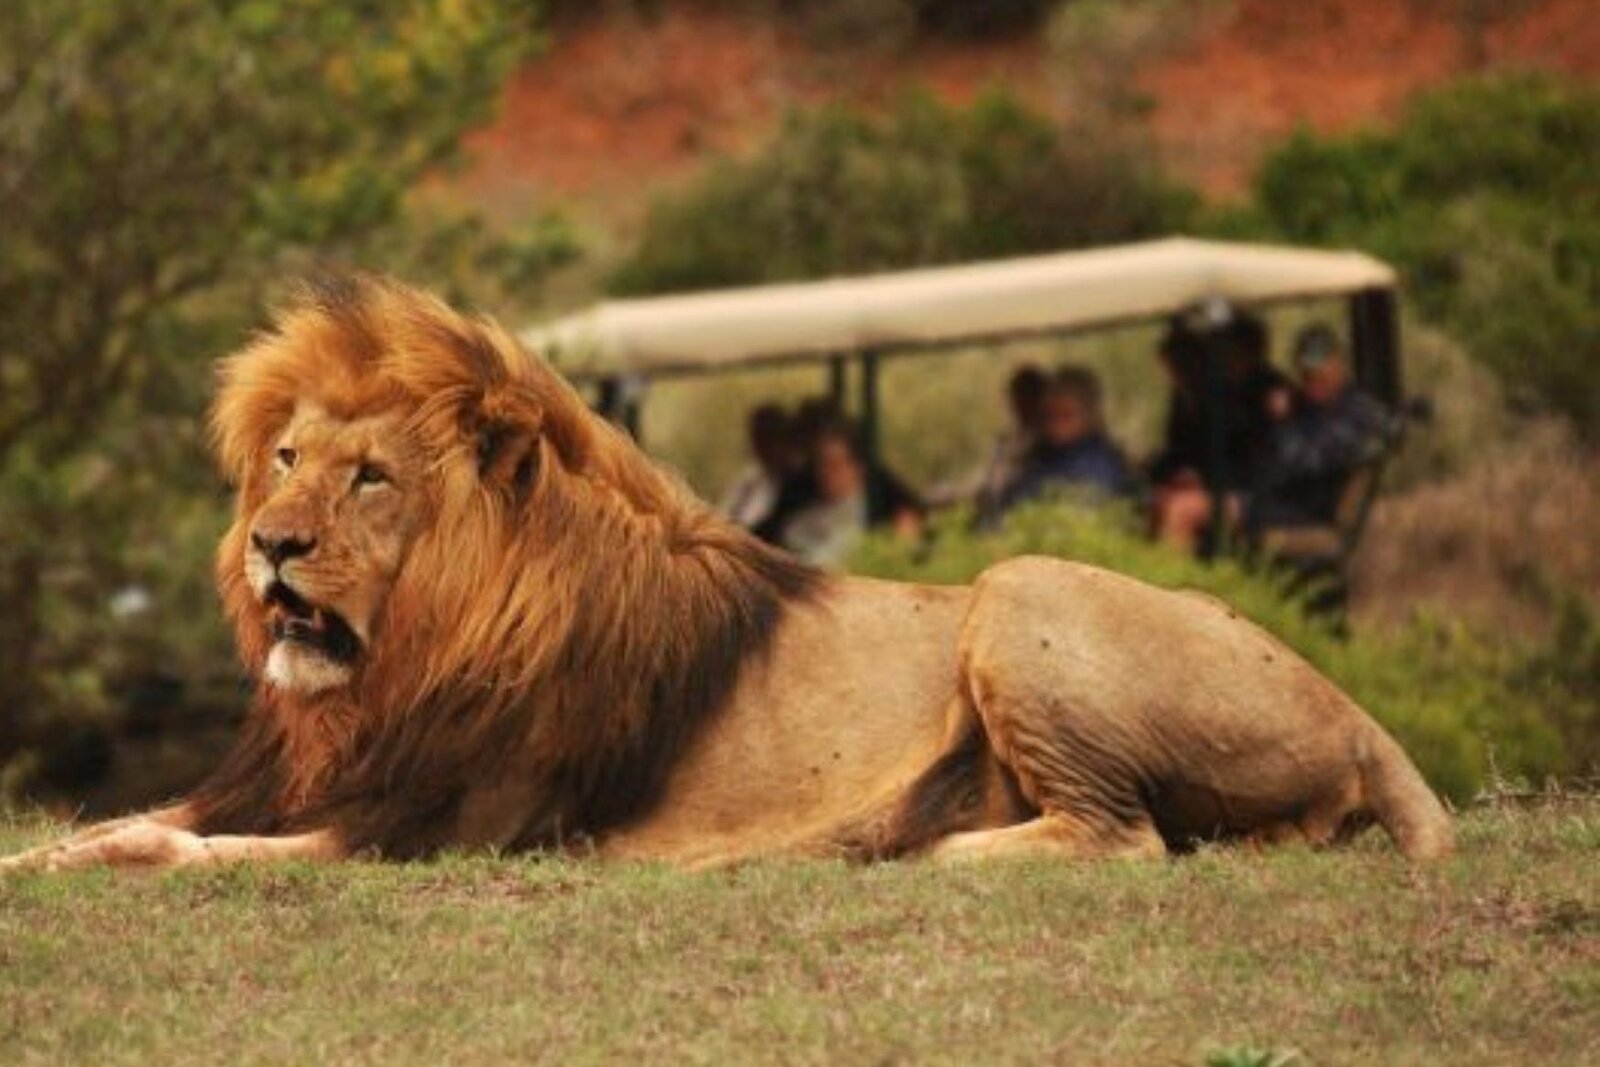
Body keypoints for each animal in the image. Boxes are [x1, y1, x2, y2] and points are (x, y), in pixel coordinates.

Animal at [1, 277, 1452, 873]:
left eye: (370, 478)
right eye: (287, 458)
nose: (271, 543)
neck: (396, 666)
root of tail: (1358, 709)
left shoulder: (437, 830)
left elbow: (172, 844)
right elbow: (115, 817)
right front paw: (45, 855)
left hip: (1019, 587)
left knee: (1122, 836)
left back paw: (907, 844)